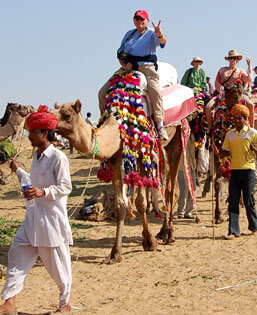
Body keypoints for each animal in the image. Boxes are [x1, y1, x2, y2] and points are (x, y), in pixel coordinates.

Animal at [54, 97, 182, 262]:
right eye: (52, 110)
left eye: (67, 115)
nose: (46, 121)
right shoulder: (115, 158)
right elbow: (120, 205)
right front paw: (115, 253)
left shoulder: (142, 153)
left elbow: (140, 202)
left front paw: (149, 242)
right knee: (170, 187)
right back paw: (162, 231)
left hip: (177, 139)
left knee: (171, 189)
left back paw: (169, 233)